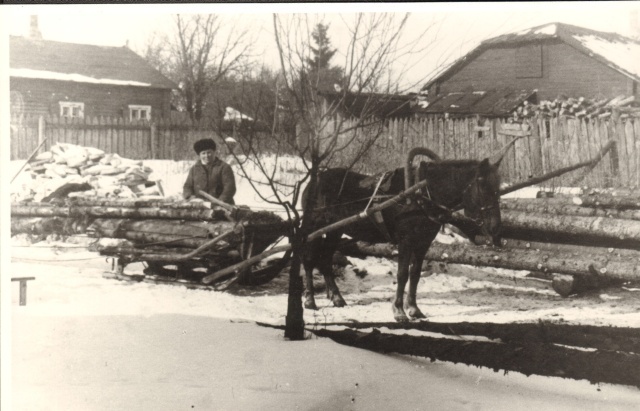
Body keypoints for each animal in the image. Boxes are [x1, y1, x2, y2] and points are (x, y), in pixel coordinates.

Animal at [302, 146, 510, 324]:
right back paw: (310, 300)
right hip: (315, 227)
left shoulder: (423, 243)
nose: (495, 227)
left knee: (325, 259)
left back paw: (337, 297)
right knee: (309, 259)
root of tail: (315, 180)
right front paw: (399, 311)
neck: (422, 193)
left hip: (335, 231)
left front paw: (414, 309)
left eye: (498, 187)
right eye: (482, 185)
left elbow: (415, 274)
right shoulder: (406, 241)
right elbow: (402, 274)